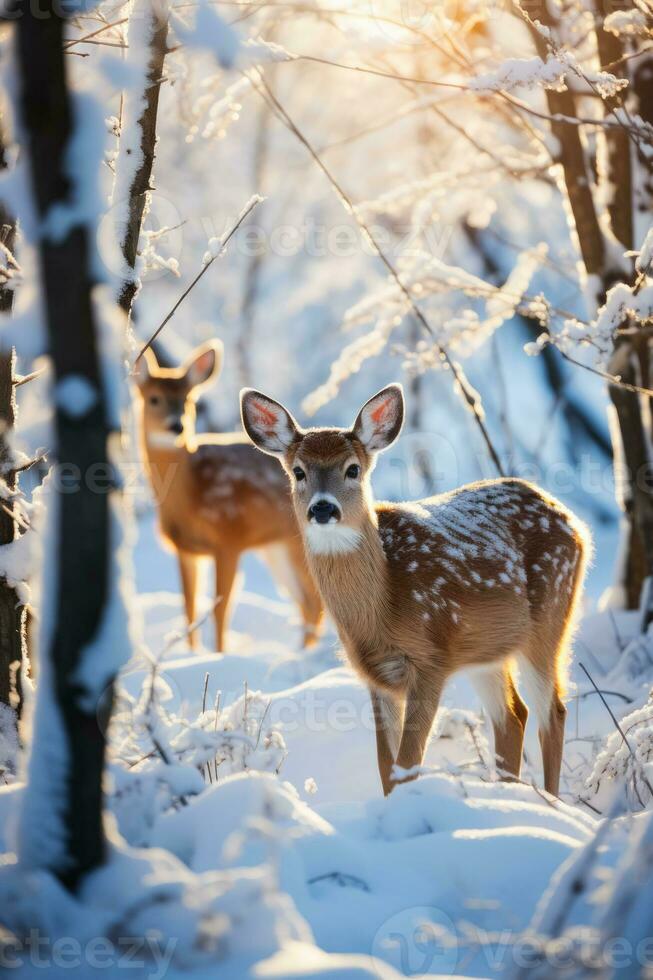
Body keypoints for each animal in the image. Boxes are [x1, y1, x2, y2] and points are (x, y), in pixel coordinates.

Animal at [133, 340, 324, 656]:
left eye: (188, 400)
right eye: (154, 399)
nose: (176, 426)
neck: (191, 497)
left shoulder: (229, 539)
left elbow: (221, 610)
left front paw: (219, 655)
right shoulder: (185, 549)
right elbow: (189, 607)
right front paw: (193, 654)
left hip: (295, 541)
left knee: (316, 601)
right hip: (275, 547)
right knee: (306, 602)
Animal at [241, 382, 592, 796]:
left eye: (352, 469)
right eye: (298, 472)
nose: (323, 508)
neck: (381, 608)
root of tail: (575, 524)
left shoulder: (431, 658)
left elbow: (407, 762)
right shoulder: (376, 674)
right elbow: (385, 764)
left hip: (550, 619)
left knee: (552, 711)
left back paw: (549, 802)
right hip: (487, 648)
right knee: (513, 715)